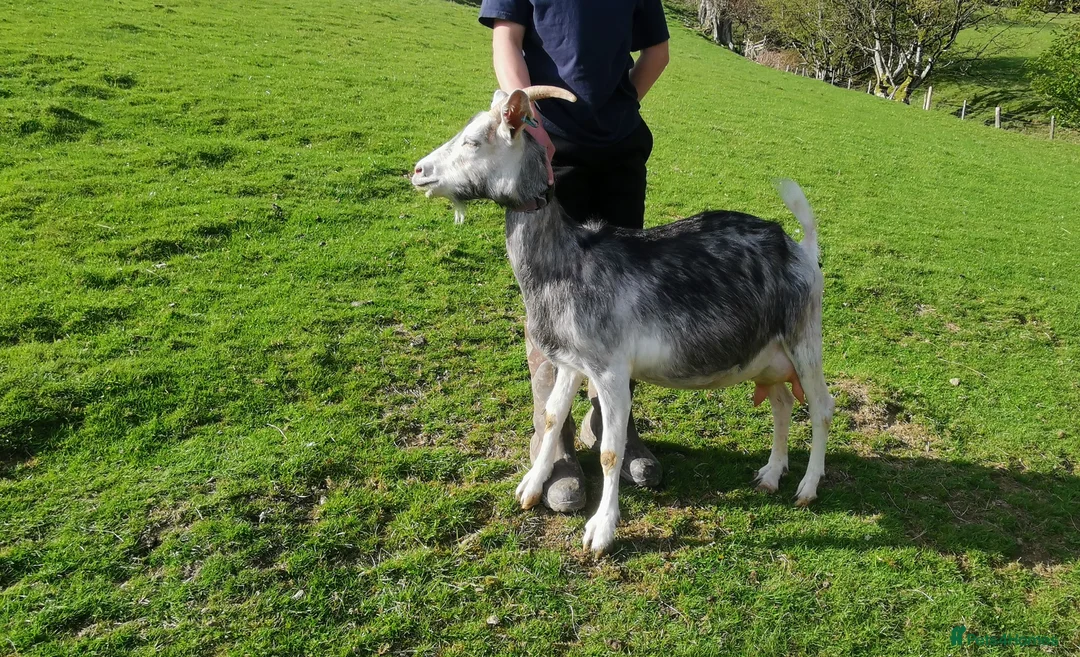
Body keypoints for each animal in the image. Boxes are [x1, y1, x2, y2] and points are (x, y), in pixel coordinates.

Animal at [411, 86, 834, 554]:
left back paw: (807, 487)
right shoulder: (571, 362)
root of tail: (801, 249)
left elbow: (611, 451)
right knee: (782, 404)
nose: (418, 171)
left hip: (804, 340)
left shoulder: (610, 370)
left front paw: (601, 530)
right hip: (767, 356)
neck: (567, 262)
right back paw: (771, 475)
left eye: (473, 141)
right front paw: (532, 487)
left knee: (821, 408)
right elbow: (553, 415)